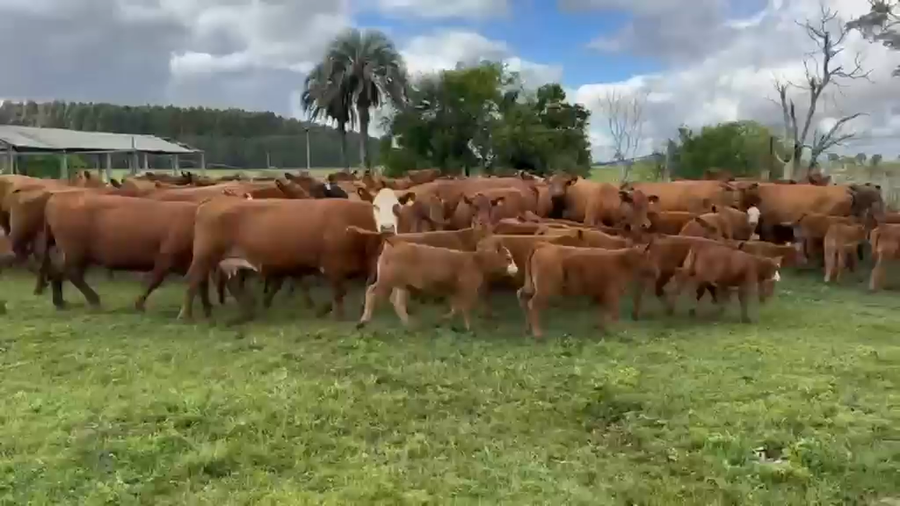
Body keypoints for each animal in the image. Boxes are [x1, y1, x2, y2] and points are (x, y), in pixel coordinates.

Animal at [356, 235, 517, 331]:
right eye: (508, 258)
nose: (516, 269)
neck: (475, 261)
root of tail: (395, 243)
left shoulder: (456, 290)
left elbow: (456, 307)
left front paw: (444, 319)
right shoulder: (467, 289)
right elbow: (464, 308)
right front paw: (468, 327)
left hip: (400, 284)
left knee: (397, 301)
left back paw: (409, 324)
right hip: (386, 280)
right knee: (372, 292)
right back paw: (364, 320)